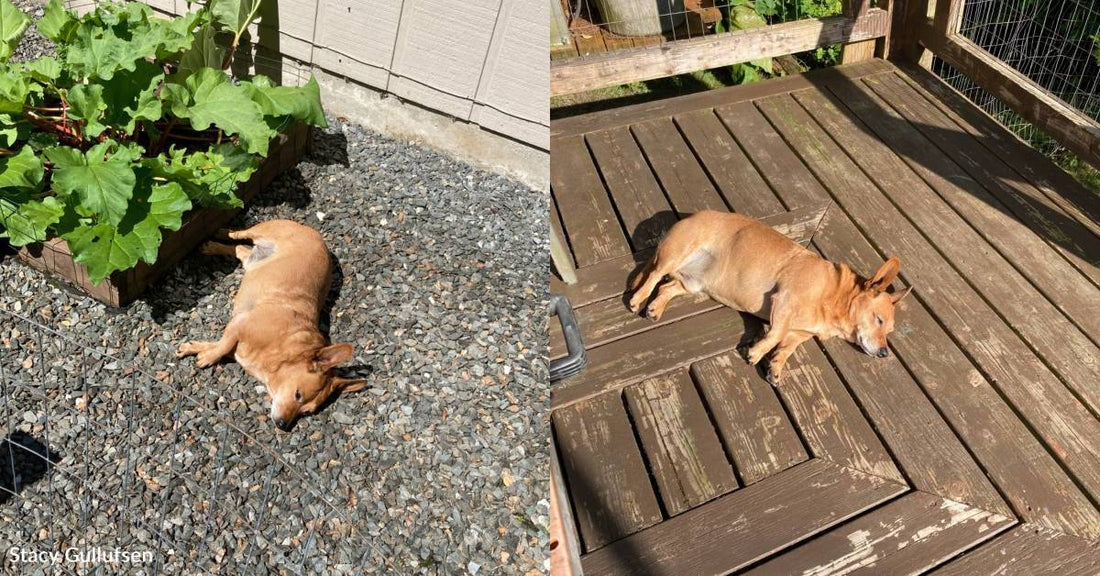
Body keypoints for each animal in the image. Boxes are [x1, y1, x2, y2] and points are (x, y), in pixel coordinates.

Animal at [176, 219, 365, 426]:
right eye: (297, 394)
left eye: (307, 412)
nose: (283, 424)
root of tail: (313, 232)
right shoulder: (239, 324)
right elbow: (223, 345)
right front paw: (208, 357)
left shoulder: (237, 339)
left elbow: (219, 345)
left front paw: (195, 348)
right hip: (261, 230)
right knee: (239, 234)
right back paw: (220, 234)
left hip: (252, 261)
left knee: (239, 250)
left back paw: (214, 247)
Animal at [629, 209, 910, 382]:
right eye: (879, 320)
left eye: (890, 331)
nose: (885, 354)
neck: (835, 297)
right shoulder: (784, 301)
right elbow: (776, 334)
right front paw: (757, 352)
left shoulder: (801, 332)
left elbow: (788, 346)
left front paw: (776, 365)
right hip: (677, 252)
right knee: (653, 275)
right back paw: (637, 299)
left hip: (693, 283)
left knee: (666, 288)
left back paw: (655, 308)